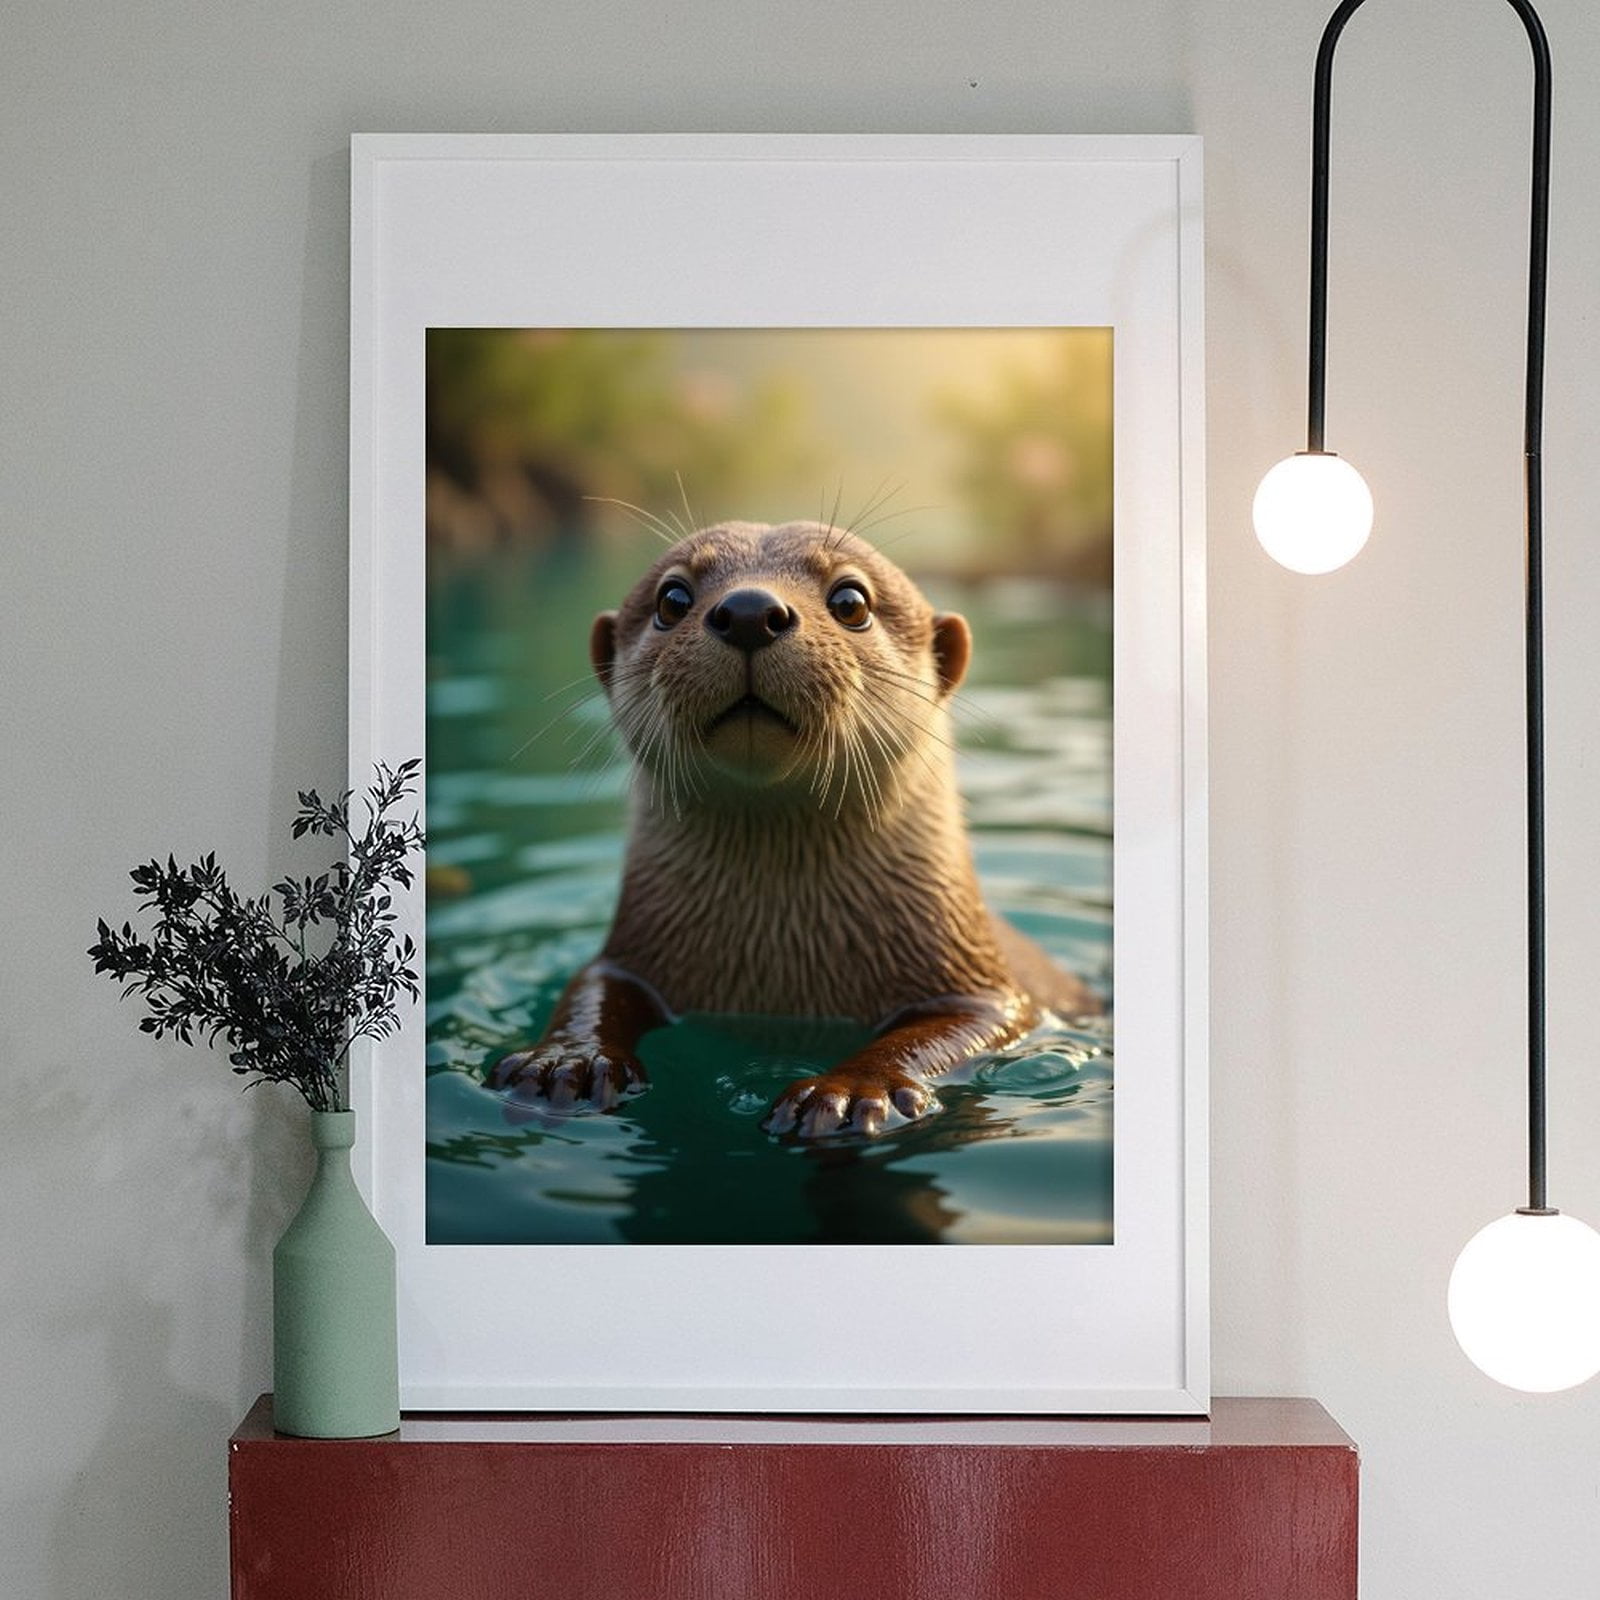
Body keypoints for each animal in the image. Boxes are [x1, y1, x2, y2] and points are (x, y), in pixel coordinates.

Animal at [490, 520, 1101, 1138]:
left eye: (851, 601)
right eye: (672, 599)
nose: (749, 610)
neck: (783, 964)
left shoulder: (979, 982)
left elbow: (959, 1024)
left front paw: (853, 1091)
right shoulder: (628, 956)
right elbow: (590, 988)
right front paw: (567, 1061)